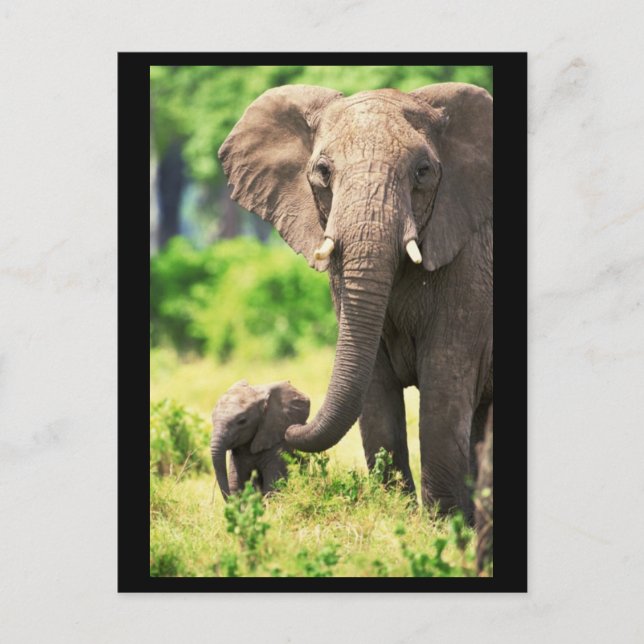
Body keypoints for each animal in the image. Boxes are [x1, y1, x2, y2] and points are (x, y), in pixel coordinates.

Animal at [219, 82, 492, 515]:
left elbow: (442, 393)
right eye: (323, 172)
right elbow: (375, 397)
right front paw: (396, 512)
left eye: (423, 171)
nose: (291, 425)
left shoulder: (470, 263)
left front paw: (441, 527)